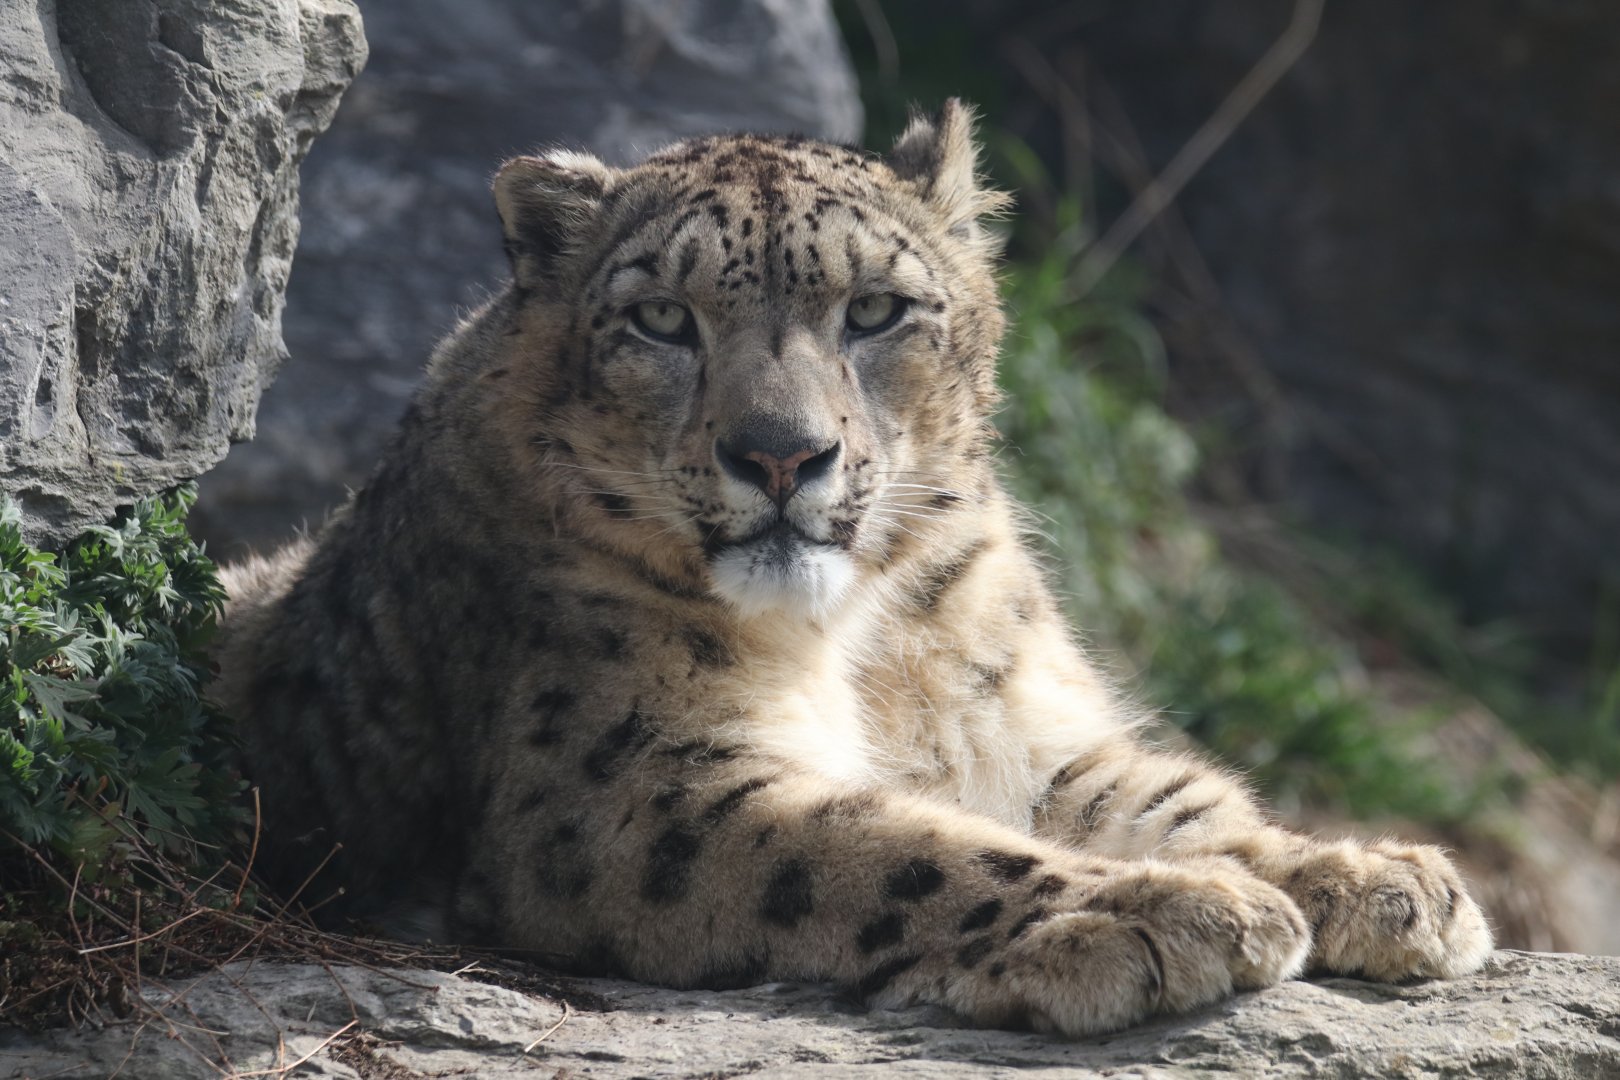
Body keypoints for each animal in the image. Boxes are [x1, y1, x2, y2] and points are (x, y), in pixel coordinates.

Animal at [213, 100, 1492, 1037]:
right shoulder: (629, 789)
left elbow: (1165, 797)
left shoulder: (1022, 731)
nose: (781, 453)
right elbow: (885, 849)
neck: (868, 643)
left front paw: (1370, 878)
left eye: (875, 310)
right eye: (662, 320)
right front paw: (1163, 911)